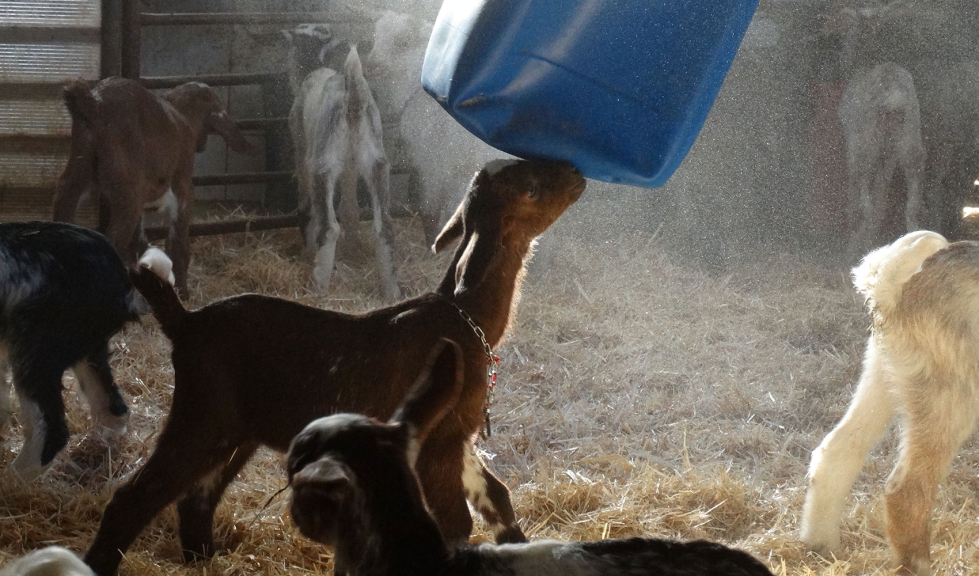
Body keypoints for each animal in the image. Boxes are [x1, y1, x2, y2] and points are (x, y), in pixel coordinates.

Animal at [290, 42, 400, 300]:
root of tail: (353, 95)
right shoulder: (351, 166)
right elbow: (350, 209)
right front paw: (352, 248)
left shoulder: (305, 153)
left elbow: (307, 206)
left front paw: (308, 250)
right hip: (376, 161)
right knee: (384, 226)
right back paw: (392, 291)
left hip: (323, 163)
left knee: (328, 227)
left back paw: (318, 287)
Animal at [800, 230, 976, 576]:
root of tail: (893, 288)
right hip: (951, 399)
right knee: (906, 492)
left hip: (883, 377)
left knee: (836, 452)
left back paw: (822, 547)